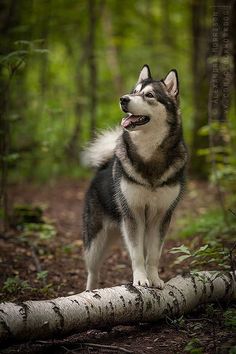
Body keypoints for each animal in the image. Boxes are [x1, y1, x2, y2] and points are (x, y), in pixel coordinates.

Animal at [83, 65, 188, 290]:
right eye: (134, 91)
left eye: (149, 95)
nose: (123, 99)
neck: (149, 155)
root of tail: (104, 166)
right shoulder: (133, 215)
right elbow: (137, 254)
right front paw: (140, 279)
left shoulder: (161, 217)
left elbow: (153, 255)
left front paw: (154, 278)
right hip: (96, 241)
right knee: (93, 271)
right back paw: (90, 292)